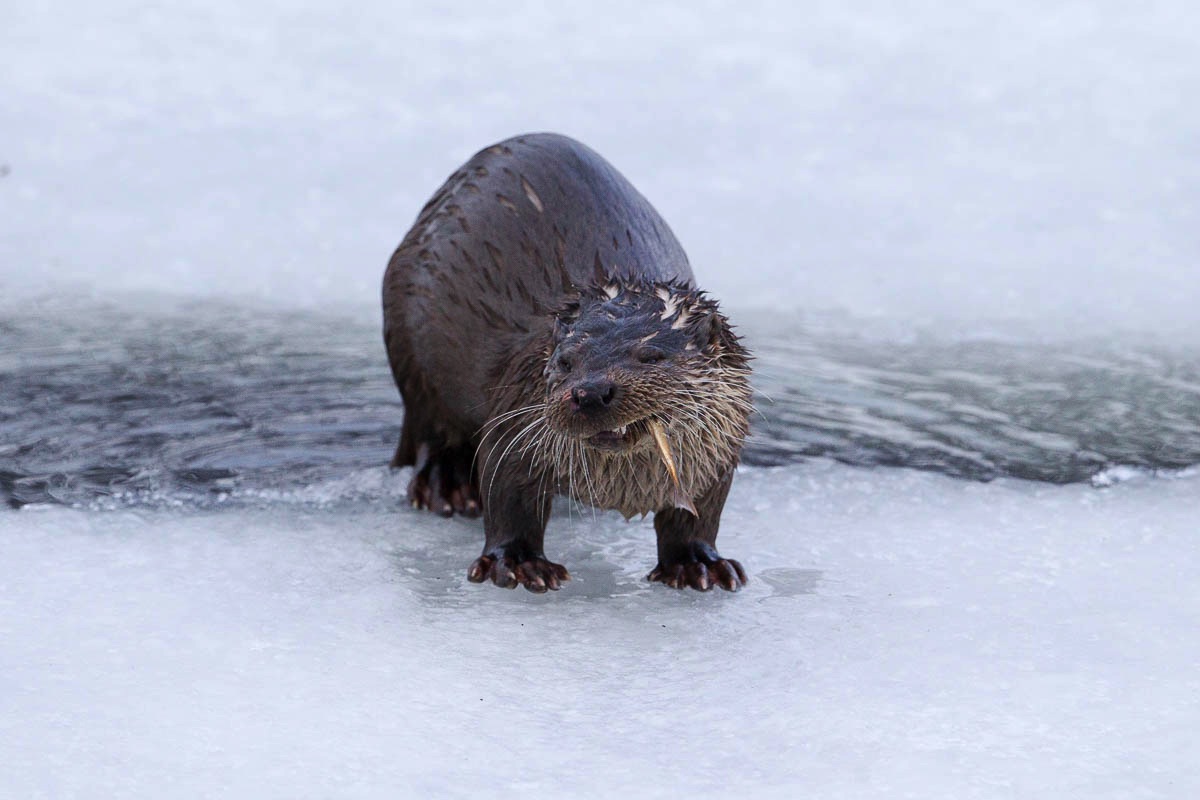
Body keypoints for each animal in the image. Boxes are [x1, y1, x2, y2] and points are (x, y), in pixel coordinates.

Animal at [379, 133, 748, 594]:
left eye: (651, 356)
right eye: (567, 361)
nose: (590, 391)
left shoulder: (719, 451)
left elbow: (699, 515)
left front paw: (695, 563)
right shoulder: (516, 417)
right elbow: (508, 499)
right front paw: (519, 563)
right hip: (409, 346)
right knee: (431, 426)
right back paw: (447, 487)